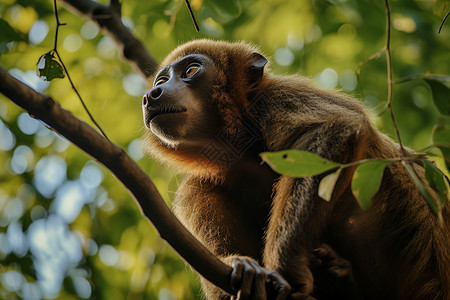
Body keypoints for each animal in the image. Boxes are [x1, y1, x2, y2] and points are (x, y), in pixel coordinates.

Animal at [142, 40, 450, 300]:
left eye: (191, 70)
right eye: (162, 81)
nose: (151, 95)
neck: (237, 146)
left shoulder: (277, 99)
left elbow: (337, 126)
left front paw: (286, 266)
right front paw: (242, 267)